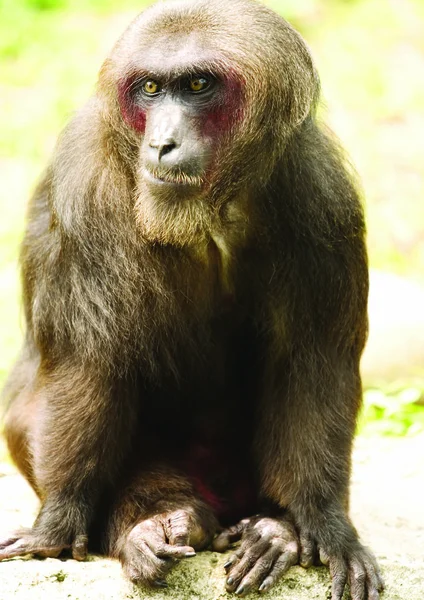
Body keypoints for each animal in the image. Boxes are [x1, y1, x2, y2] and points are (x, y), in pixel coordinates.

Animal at [0, 1, 382, 600]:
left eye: (198, 85)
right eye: (152, 88)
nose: (162, 143)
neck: (212, 209)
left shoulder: (324, 198)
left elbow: (314, 363)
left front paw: (323, 522)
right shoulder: (86, 184)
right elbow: (88, 363)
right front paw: (58, 522)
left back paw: (272, 531)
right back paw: (159, 521)